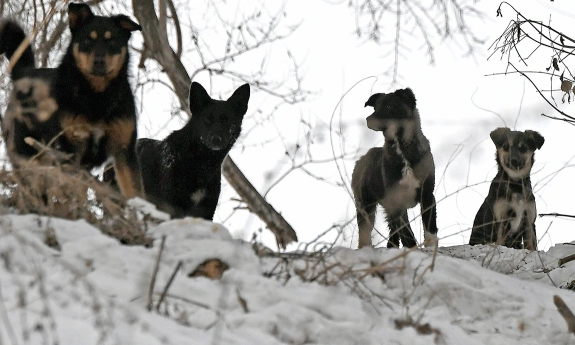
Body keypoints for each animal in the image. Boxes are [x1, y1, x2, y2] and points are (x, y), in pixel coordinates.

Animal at [0, 2, 143, 198]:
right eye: (87, 40)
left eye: (112, 40)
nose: (99, 61)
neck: (97, 96)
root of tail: (24, 75)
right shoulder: (70, 150)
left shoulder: (124, 152)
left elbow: (135, 193)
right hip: (29, 157)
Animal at [107, 82, 251, 219]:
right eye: (207, 120)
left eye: (226, 121)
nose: (216, 139)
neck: (200, 162)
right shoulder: (172, 206)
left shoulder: (206, 212)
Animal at [352, 88, 440, 247]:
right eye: (375, 107)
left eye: (388, 106)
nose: (368, 120)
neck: (400, 146)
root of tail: (361, 160)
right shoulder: (397, 200)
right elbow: (407, 232)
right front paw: (412, 249)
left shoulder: (427, 194)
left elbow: (429, 225)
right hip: (365, 205)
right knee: (365, 231)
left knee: (392, 229)